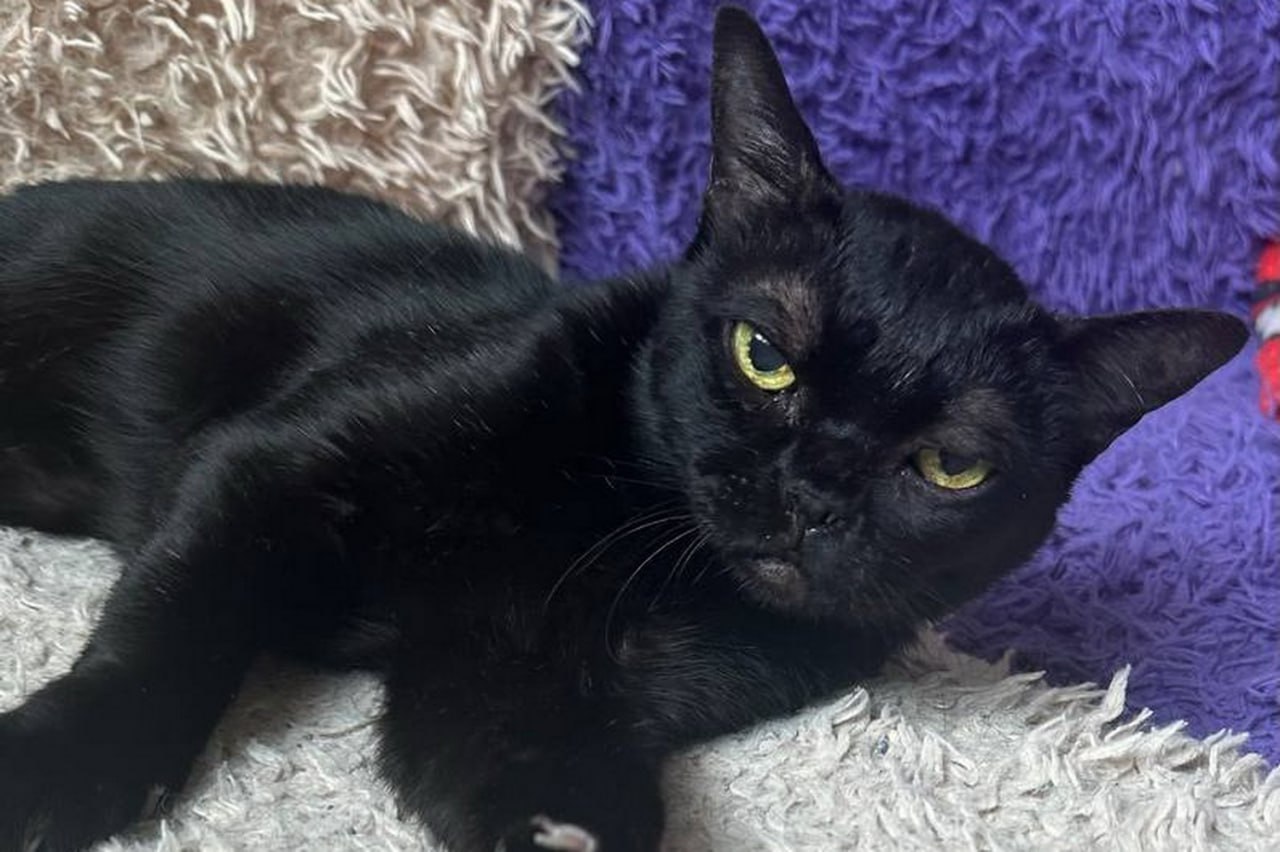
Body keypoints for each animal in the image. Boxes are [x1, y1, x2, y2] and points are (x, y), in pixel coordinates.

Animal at [0, 7, 1246, 852]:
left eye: (949, 465)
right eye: (762, 354)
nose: (811, 492)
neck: (618, 530)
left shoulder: (516, 674)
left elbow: (517, 765)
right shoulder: (272, 465)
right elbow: (170, 633)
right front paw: (56, 771)